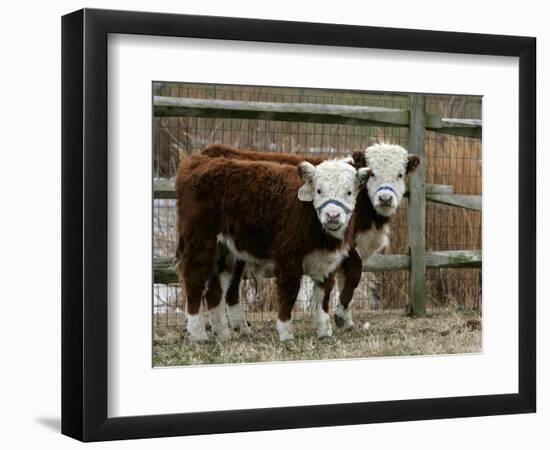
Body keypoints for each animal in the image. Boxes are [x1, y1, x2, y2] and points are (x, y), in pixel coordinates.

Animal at [175, 155, 368, 342]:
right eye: (319, 190)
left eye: (349, 192)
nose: (332, 215)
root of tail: (198, 162)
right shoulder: (288, 257)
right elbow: (289, 291)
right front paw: (286, 333)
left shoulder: (327, 261)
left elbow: (323, 295)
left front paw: (324, 332)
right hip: (200, 241)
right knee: (194, 279)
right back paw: (198, 335)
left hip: (226, 252)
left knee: (215, 290)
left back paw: (223, 334)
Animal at [203, 144, 422, 330]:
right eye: (373, 173)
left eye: (400, 174)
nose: (385, 198)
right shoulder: (347, 245)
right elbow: (354, 273)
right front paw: (340, 317)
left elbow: (342, 280)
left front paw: (346, 321)